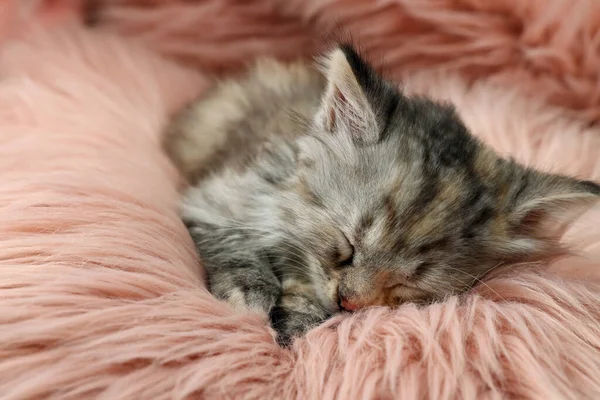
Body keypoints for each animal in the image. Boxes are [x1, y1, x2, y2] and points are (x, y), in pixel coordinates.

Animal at [164, 43, 600, 344]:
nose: (348, 302)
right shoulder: (218, 198)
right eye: (347, 246)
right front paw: (249, 291)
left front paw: (299, 318)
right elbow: (234, 240)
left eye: (407, 284)